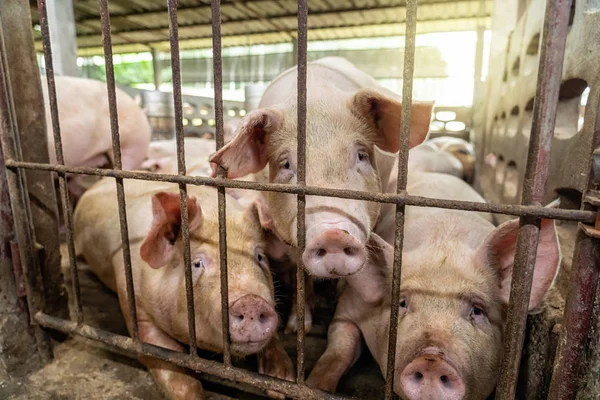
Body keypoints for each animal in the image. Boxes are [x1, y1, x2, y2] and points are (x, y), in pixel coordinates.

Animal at [74, 178, 294, 400]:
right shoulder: (133, 301)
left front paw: (281, 383)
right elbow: (162, 356)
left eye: (259, 257)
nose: (252, 302)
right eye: (197, 263)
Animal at [209, 54, 434, 332]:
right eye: (286, 164)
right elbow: (299, 270)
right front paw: (297, 327)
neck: (315, 100)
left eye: (361, 155)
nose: (333, 235)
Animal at [308, 172, 560, 400]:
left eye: (477, 310)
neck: (442, 241)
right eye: (402, 303)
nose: (432, 360)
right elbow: (340, 346)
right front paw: (315, 385)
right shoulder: (350, 306)